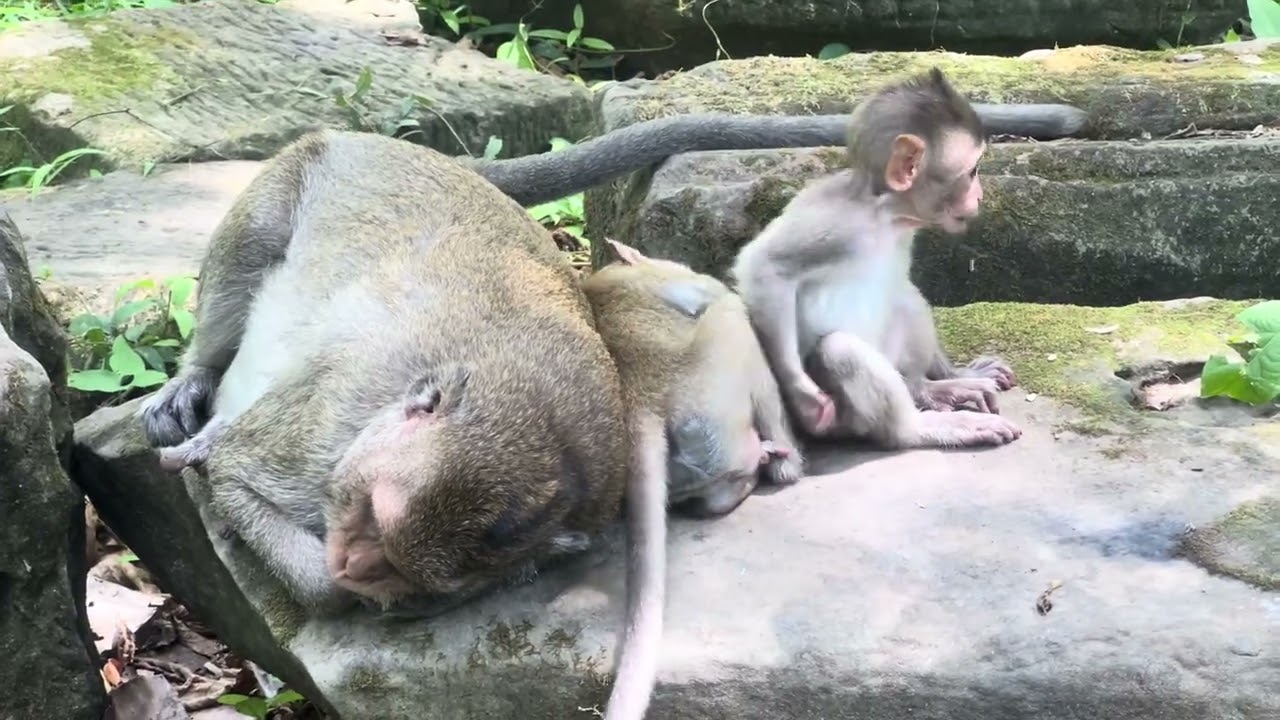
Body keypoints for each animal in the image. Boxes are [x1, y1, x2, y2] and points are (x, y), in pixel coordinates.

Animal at [141, 129, 629, 614]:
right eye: (373, 514)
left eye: (407, 574)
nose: (352, 566)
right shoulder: (322, 435)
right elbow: (233, 470)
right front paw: (329, 584)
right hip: (287, 176)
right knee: (250, 246)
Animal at [579, 239, 804, 720]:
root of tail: (640, 399)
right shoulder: (683, 280)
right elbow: (714, 291)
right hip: (716, 381)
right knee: (732, 311)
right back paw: (782, 459)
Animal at [730, 67, 1025, 450]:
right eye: (972, 172)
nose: (980, 195)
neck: (887, 214)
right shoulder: (840, 224)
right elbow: (763, 265)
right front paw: (802, 394)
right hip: (847, 418)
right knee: (841, 350)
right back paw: (920, 426)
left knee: (905, 297)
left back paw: (937, 385)